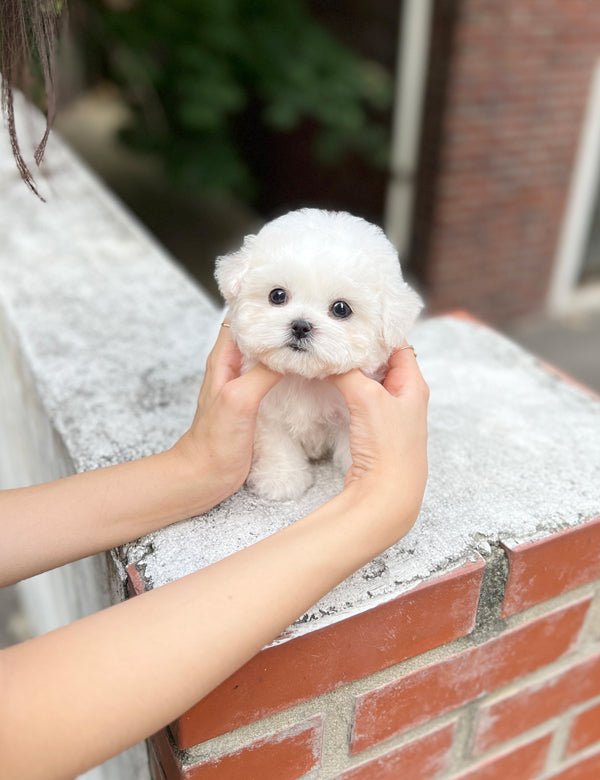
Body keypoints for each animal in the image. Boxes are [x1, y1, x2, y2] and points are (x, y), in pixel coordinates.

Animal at [216, 207, 422, 500]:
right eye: (277, 295)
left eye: (341, 308)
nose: (301, 326)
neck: (305, 378)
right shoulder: (267, 412)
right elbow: (276, 442)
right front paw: (280, 479)